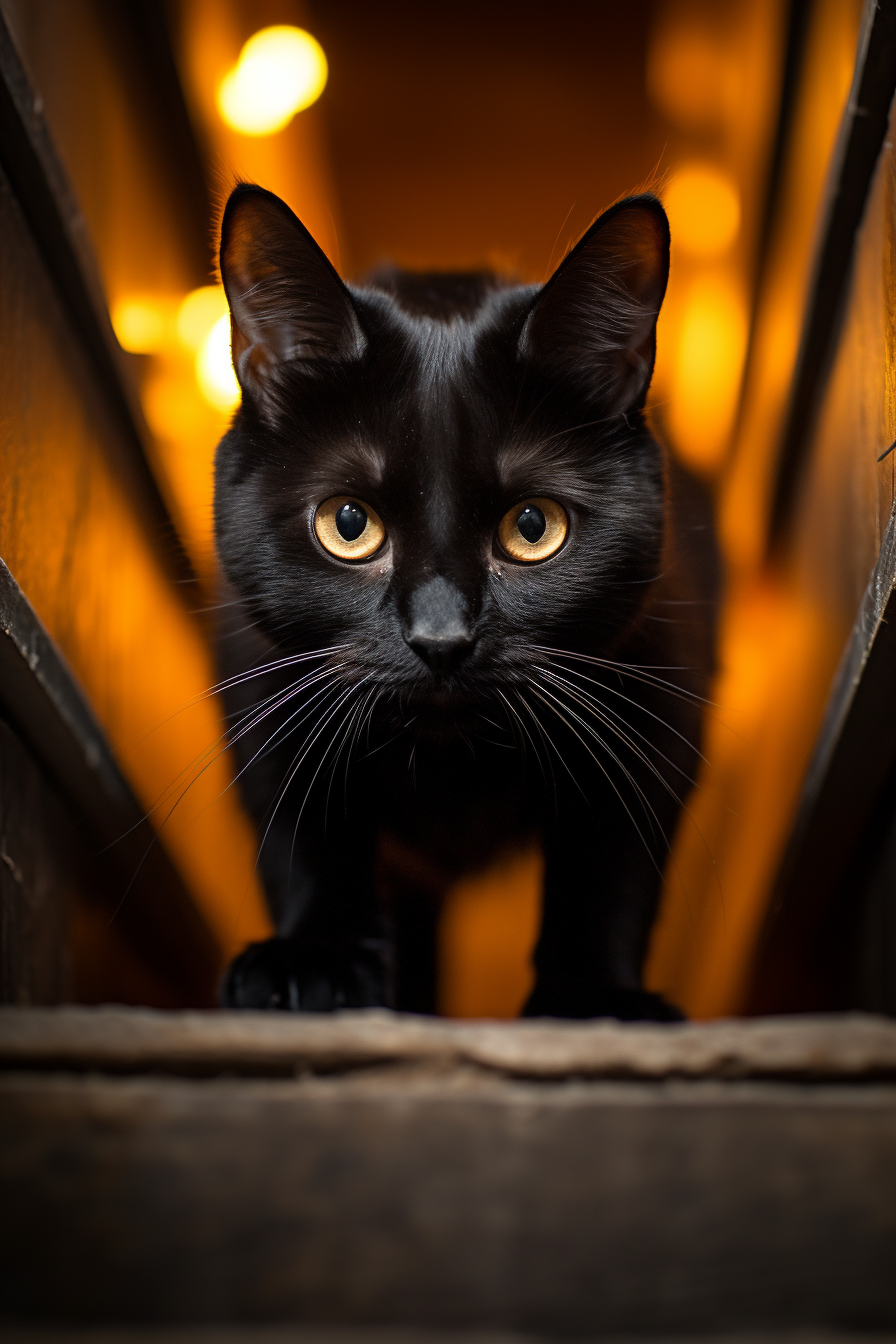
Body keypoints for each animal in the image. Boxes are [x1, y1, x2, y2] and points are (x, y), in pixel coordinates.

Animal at [213, 181, 720, 1016]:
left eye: (533, 527)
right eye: (348, 524)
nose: (441, 637)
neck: (451, 762)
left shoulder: (654, 711)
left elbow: (607, 873)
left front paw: (594, 998)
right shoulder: (269, 694)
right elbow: (305, 835)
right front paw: (312, 958)